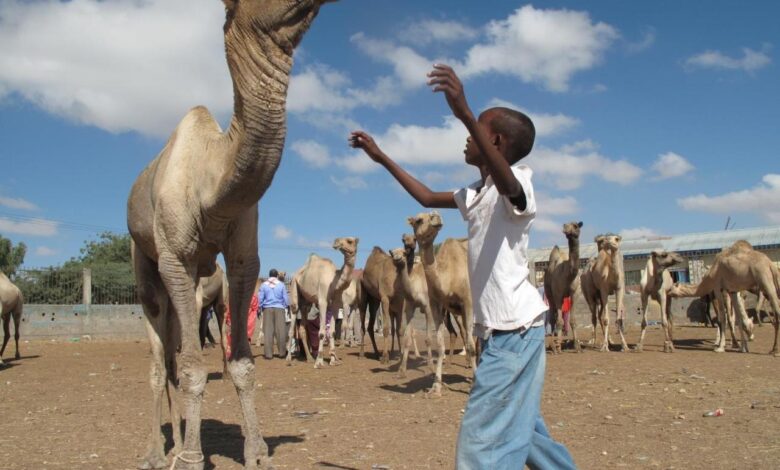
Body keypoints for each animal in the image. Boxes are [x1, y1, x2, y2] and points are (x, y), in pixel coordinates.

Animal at [126, 1, 334, 468]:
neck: (211, 186)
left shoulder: (244, 258)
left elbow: (240, 362)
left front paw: (256, 452)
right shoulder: (175, 258)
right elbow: (191, 366)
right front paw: (189, 458)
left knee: (172, 354)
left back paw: (178, 439)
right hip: (143, 260)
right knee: (158, 361)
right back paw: (155, 451)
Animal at [288, 239, 358, 368]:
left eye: (350, 241)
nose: (337, 243)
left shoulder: (335, 304)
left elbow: (332, 331)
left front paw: (333, 360)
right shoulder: (323, 302)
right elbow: (321, 332)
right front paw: (320, 361)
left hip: (306, 303)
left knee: (302, 327)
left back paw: (309, 358)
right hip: (294, 288)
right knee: (293, 318)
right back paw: (289, 358)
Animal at [408, 210, 476, 392]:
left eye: (434, 213)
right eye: (418, 220)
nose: (436, 217)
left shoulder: (467, 301)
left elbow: (471, 344)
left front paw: (475, 382)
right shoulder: (436, 305)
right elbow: (439, 345)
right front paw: (436, 386)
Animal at [544, 220, 580, 352]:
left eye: (576, 226)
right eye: (565, 225)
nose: (565, 230)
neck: (568, 274)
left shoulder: (575, 294)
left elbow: (573, 320)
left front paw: (577, 346)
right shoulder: (558, 294)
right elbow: (559, 321)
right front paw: (558, 347)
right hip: (549, 293)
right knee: (552, 317)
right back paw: (554, 346)